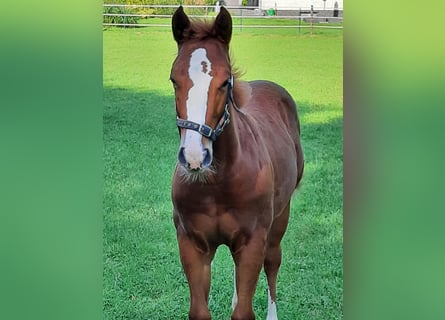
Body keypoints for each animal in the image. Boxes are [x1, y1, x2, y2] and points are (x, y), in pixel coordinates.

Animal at [169, 5, 302, 320]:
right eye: (173, 80)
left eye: (224, 81)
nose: (194, 157)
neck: (219, 184)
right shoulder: (192, 243)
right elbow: (200, 310)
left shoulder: (253, 242)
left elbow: (244, 312)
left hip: (280, 218)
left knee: (273, 263)